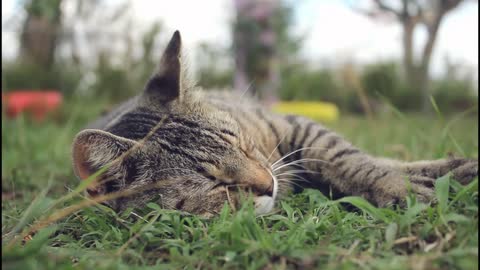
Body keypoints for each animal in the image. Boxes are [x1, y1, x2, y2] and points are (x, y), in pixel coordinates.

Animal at [72, 30, 480, 218]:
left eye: (239, 142)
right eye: (214, 183)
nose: (268, 184)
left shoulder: (296, 126)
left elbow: (351, 160)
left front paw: (398, 183)